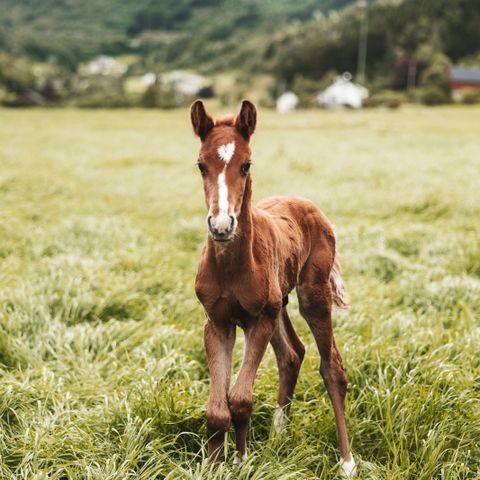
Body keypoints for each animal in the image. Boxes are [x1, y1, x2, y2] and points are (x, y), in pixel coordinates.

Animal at [191, 98, 356, 476]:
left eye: (246, 164)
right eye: (201, 165)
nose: (221, 225)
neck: (233, 264)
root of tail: (308, 205)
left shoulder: (258, 320)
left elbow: (239, 399)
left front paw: (241, 461)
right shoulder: (217, 323)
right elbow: (217, 409)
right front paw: (213, 467)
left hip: (311, 296)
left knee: (332, 369)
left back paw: (347, 462)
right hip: (279, 301)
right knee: (292, 354)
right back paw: (279, 437)